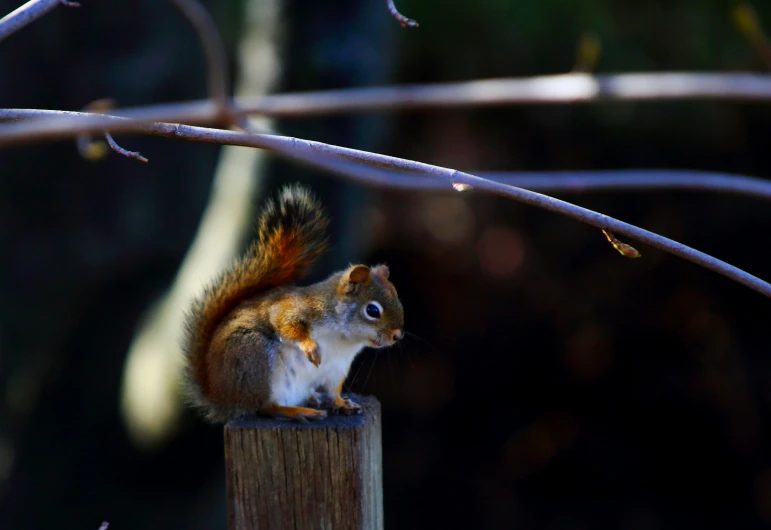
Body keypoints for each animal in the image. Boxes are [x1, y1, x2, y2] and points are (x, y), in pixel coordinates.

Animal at [183, 184, 408, 422]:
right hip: (253, 358)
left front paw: (342, 403)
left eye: (395, 294)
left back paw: (311, 400)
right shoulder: (297, 308)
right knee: (266, 406)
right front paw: (310, 347)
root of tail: (222, 396)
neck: (344, 338)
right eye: (372, 310)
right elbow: (285, 323)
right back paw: (297, 411)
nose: (397, 335)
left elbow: (334, 391)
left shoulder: (338, 367)